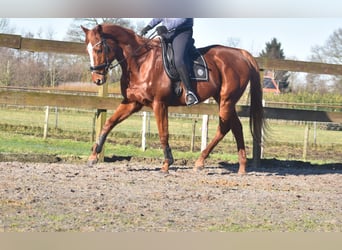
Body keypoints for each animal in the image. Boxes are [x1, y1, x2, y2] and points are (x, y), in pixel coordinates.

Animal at [81, 24, 264, 175]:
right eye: (88, 50)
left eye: (99, 49)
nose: (97, 80)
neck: (141, 62)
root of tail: (240, 54)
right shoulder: (133, 102)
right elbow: (108, 124)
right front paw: (93, 156)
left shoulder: (159, 104)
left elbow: (163, 133)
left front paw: (166, 164)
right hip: (223, 100)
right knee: (236, 127)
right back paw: (241, 167)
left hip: (227, 100)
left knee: (225, 127)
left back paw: (201, 162)